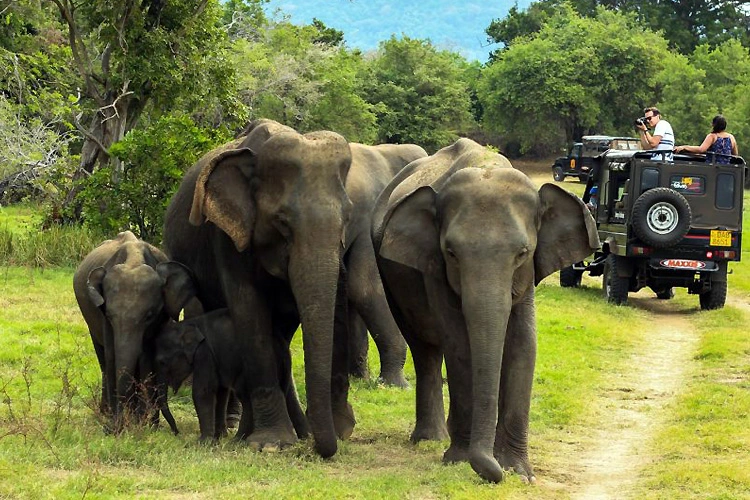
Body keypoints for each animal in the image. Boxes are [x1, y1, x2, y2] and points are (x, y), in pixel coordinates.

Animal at [72, 230, 197, 434]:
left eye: (149, 316)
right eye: (110, 315)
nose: (176, 432)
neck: (134, 259)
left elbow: (147, 358)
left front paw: (146, 425)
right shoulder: (103, 315)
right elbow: (112, 356)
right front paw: (120, 424)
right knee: (103, 359)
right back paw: (106, 412)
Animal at [154, 308, 310, 442]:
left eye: (162, 362)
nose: (176, 432)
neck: (189, 324)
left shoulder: (205, 354)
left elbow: (203, 391)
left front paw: (203, 442)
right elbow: (221, 391)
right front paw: (219, 437)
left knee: (246, 398)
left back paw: (237, 441)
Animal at [374, 139, 604, 482]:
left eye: (522, 253)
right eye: (451, 253)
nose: (494, 472)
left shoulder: (527, 277)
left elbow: (523, 343)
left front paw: (518, 472)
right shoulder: (434, 269)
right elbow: (459, 343)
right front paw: (459, 460)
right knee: (424, 349)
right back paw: (432, 439)